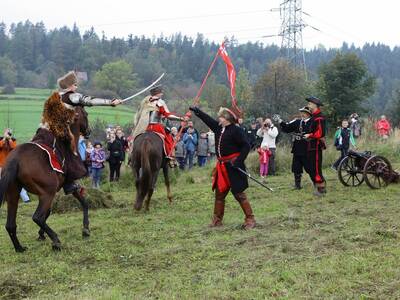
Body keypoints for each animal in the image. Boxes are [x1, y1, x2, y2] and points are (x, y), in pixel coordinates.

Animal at [0, 102, 90, 251]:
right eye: (86, 114)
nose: (88, 131)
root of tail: (15, 159)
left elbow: (49, 212)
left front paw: (41, 234)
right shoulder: (65, 185)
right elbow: (84, 202)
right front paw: (86, 229)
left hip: (13, 193)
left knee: (10, 224)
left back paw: (19, 248)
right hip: (47, 193)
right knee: (37, 217)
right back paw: (56, 241)